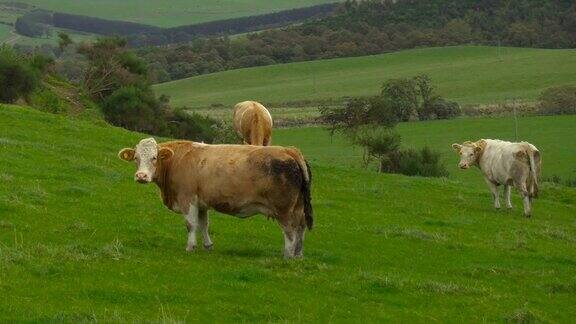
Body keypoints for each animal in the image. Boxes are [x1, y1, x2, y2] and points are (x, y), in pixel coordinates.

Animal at [118, 137, 312, 258]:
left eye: (154, 157)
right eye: (136, 158)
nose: (141, 176)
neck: (176, 160)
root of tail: (288, 150)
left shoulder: (187, 199)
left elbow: (190, 224)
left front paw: (190, 247)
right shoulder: (201, 202)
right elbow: (204, 224)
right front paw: (207, 246)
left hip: (284, 209)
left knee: (290, 230)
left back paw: (288, 255)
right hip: (298, 207)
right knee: (301, 227)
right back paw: (298, 254)